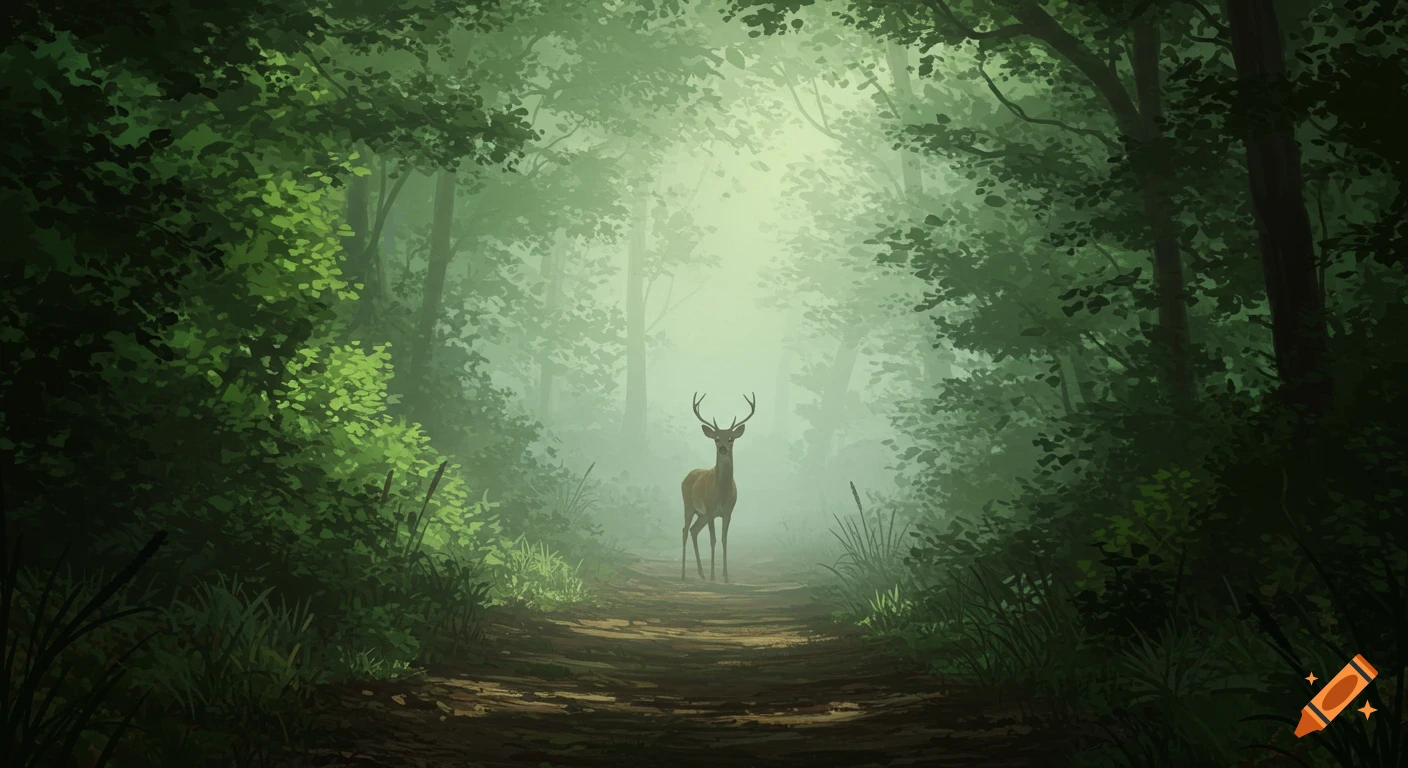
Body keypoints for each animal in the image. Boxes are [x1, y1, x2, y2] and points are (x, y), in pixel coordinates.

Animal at [681, 392, 756, 583]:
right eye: (716, 438)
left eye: (731, 438)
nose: (722, 448)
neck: (721, 494)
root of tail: (686, 476)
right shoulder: (710, 510)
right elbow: (713, 540)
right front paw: (714, 575)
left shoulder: (728, 512)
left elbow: (724, 540)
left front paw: (726, 576)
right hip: (689, 505)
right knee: (685, 530)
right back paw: (683, 574)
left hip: (700, 514)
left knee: (693, 530)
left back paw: (701, 573)